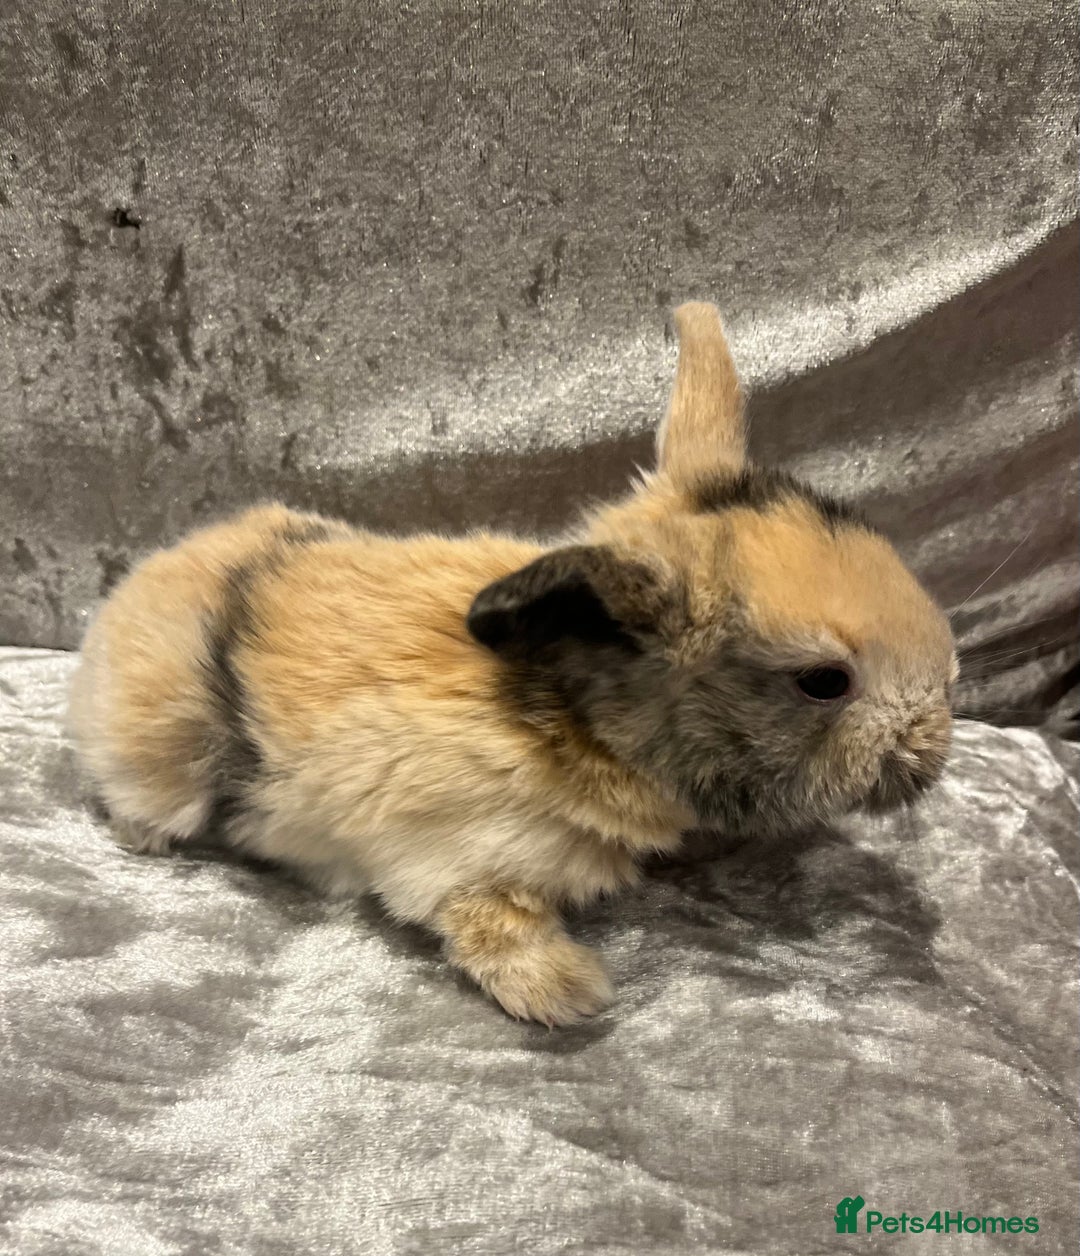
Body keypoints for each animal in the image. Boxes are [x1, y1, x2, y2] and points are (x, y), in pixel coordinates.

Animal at [68, 302, 957, 1026]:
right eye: (824, 681)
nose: (938, 729)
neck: (568, 715)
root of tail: (138, 590)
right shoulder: (453, 862)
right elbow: (492, 923)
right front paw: (573, 995)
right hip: (168, 766)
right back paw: (144, 840)